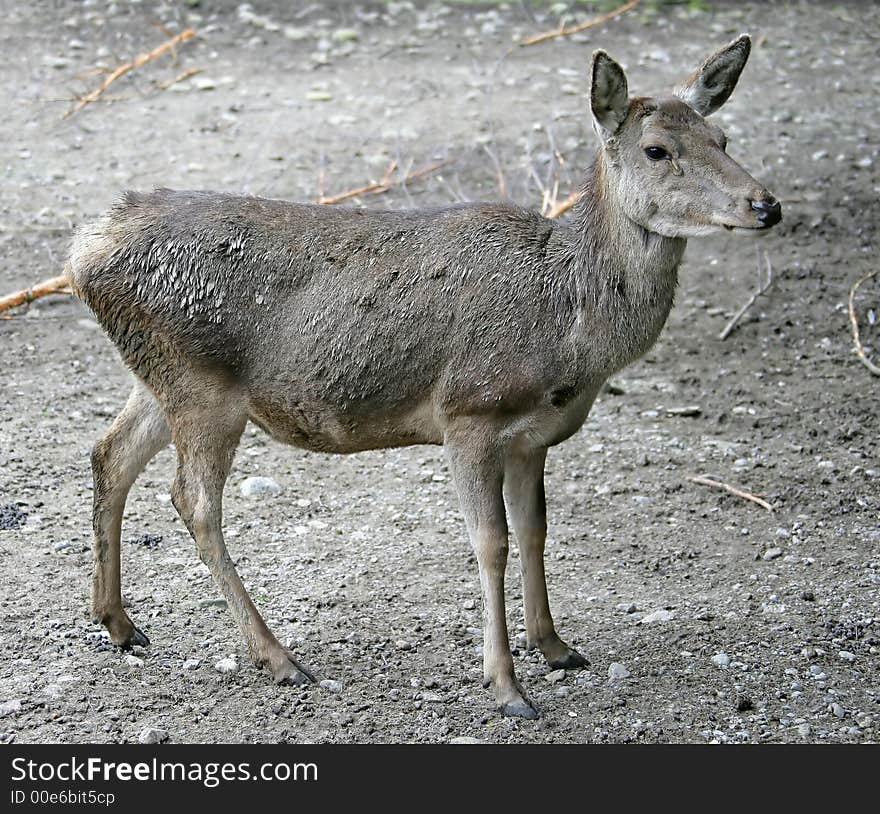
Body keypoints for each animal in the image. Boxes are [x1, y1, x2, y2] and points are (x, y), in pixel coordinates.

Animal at [67, 35, 784, 720]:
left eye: (723, 138)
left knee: (110, 454)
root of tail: (82, 254)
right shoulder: (469, 413)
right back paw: (276, 656)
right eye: (658, 149)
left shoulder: (534, 436)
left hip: (161, 378)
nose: (766, 204)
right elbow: (490, 543)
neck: (568, 328)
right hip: (202, 387)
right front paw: (506, 687)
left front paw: (555, 645)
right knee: (192, 500)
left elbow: (535, 529)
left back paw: (119, 622)